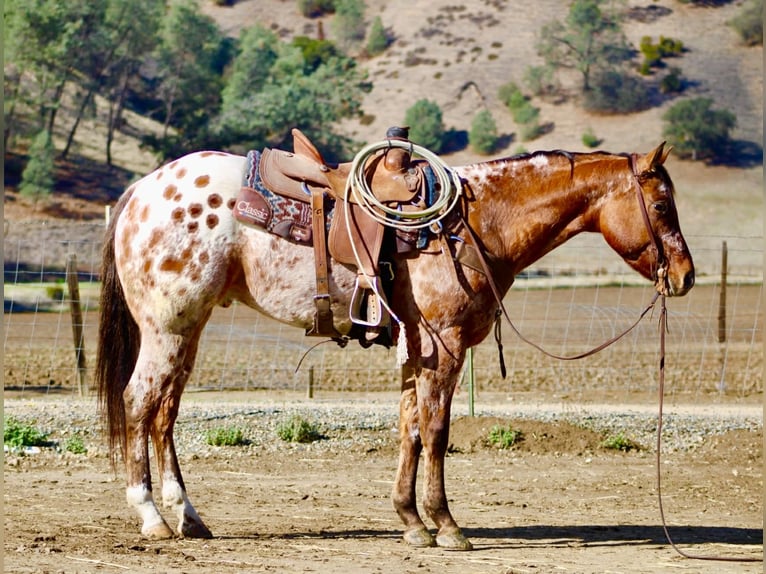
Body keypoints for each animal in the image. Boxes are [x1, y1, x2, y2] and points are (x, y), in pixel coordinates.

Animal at [95, 140, 694, 550]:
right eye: (663, 205)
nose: (686, 275)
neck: (477, 223)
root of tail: (141, 191)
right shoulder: (445, 345)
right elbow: (436, 432)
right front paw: (447, 525)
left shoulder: (417, 349)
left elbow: (409, 429)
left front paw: (411, 521)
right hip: (167, 327)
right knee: (139, 403)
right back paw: (151, 516)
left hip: (186, 330)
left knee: (164, 414)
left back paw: (188, 517)